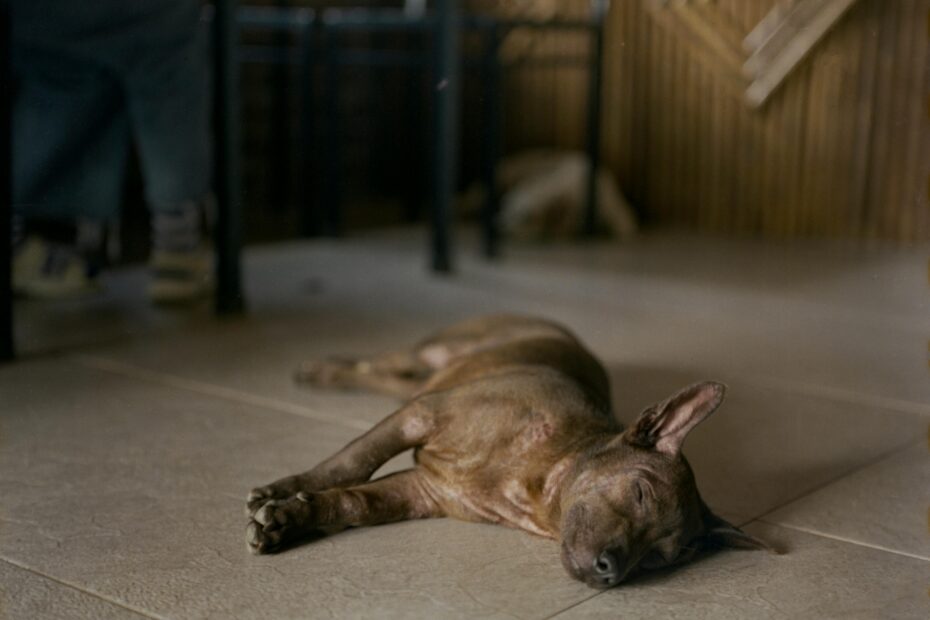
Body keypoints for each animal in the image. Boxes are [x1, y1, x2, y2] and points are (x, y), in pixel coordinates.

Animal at [245, 314, 768, 588]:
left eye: (662, 556)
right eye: (640, 493)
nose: (609, 574)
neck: (535, 480)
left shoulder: (418, 491)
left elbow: (353, 501)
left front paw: (287, 521)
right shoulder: (421, 415)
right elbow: (352, 462)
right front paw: (282, 491)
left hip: (421, 382)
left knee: (383, 377)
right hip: (430, 357)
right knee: (379, 363)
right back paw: (323, 369)